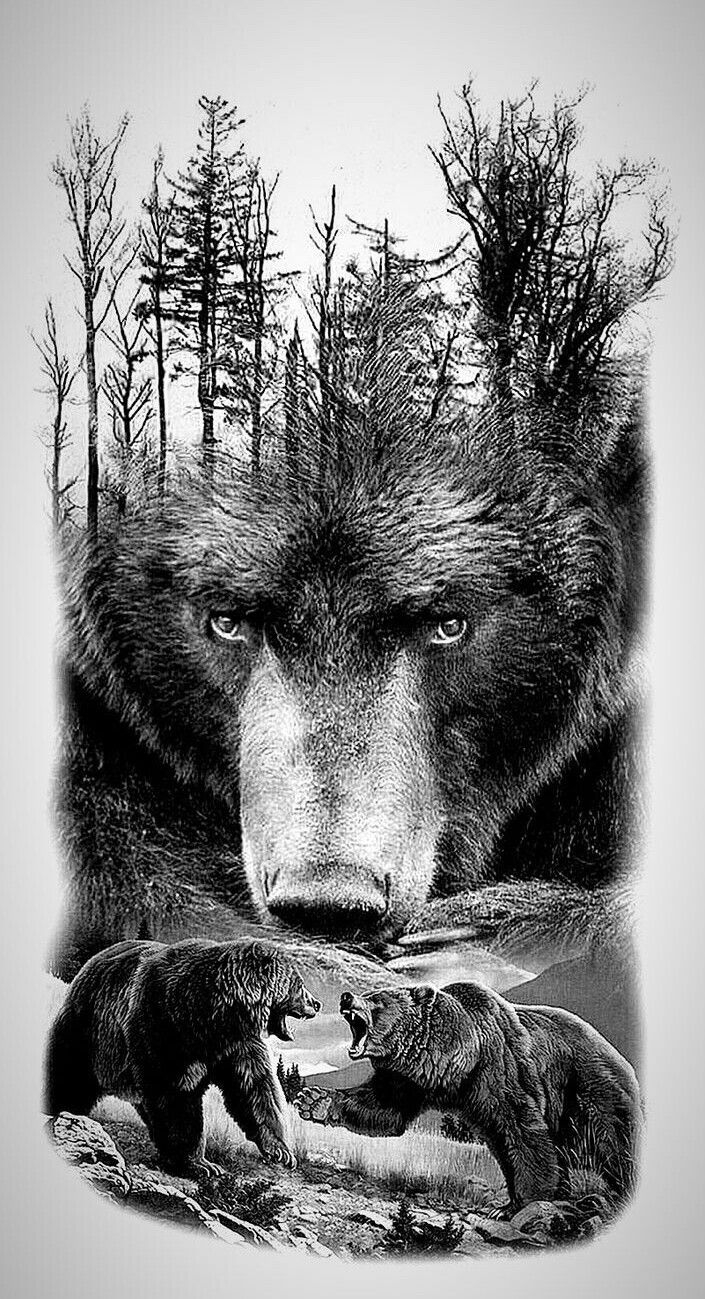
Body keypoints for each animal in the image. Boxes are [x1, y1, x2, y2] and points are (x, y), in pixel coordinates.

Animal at [44, 937, 320, 1175]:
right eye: (298, 984)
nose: (316, 1003)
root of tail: (89, 965)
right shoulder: (165, 1025)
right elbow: (176, 1096)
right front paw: (199, 1163)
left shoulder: (238, 1045)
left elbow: (254, 1089)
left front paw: (281, 1151)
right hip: (88, 1030)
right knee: (69, 1075)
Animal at [294, 982, 642, 1207]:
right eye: (367, 992)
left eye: (377, 999)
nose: (346, 997)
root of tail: (620, 1057)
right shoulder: (409, 1078)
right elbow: (383, 1107)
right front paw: (313, 1101)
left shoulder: (500, 1070)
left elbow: (523, 1131)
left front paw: (527, 1200)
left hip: (589, 1088)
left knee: (613, 1141)